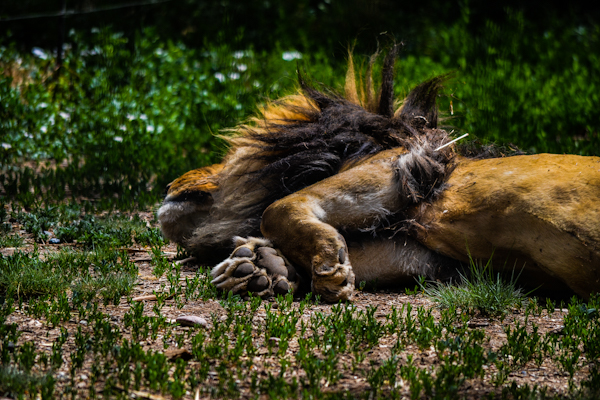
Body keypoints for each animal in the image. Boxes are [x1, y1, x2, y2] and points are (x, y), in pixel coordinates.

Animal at [157, 45, 600, 302]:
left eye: (224, 157)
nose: (168, 185)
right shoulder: (423, 254)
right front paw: (261, 268)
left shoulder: (397, 169)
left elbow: (279, 208)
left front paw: (324, 269)